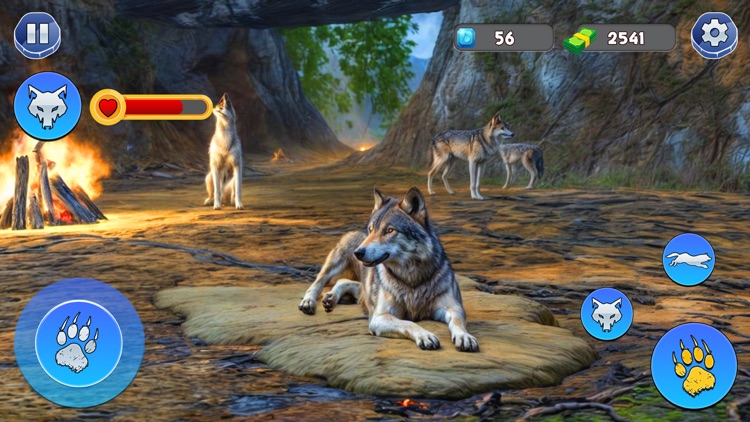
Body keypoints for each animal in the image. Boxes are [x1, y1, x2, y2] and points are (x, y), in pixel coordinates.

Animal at [298, 187, 479, 352]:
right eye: (371, 229)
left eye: (389, 230)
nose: (358, 252)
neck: (411, 278)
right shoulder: (379, 317)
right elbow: (408, 322)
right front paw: (425, 335)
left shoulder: (453, 308)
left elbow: (458, 322)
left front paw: (464, 337)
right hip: (335, 264)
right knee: (318, 281)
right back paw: (309, 302)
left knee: (347, 282)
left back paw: (331, 298)